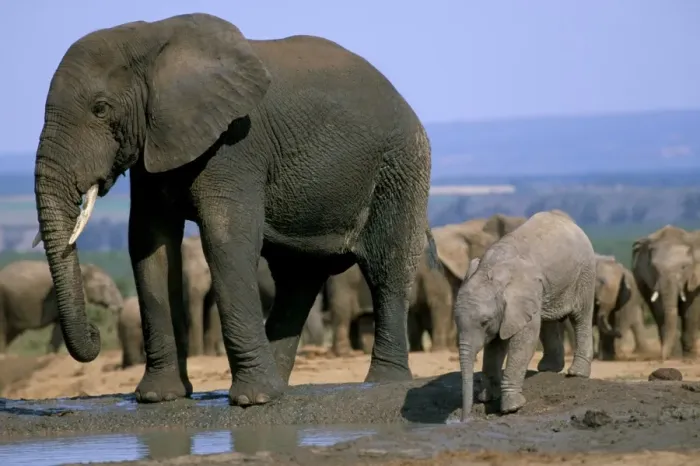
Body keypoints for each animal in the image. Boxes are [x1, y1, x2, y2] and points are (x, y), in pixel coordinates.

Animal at [31, 13, 437, 406]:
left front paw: (251, 401)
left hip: (400, 168)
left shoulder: (235, 144)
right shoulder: (155, 144)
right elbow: (150, 244)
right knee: (298, 279)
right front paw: (158, 397)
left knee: (387, 270)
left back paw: (382, 382)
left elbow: (226, 238)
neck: (153, 40)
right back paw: (280, 387)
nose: (96, 333)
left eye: (100, 109)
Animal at [455, 210, 595, 420]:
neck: (490, 270)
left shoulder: (521, 297)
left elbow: (523, 341)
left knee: (581, 317)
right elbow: (495, 345)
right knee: (548, 321)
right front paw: (487, 398)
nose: (465, 419)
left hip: (585, 272)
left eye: (485, 322)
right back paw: (548, 369)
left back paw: (577, 374)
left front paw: (512, 408)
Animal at [631, 225, 700, 360]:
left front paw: (690, 358)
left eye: (684, 267)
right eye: (654, 268)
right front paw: (673, 356)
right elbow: (660, 309)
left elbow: (691, 311)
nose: (662, 358)